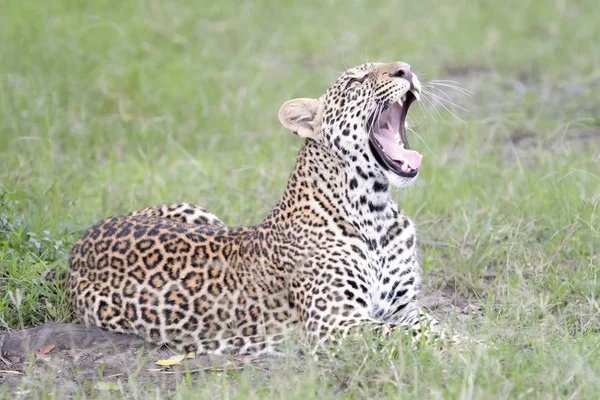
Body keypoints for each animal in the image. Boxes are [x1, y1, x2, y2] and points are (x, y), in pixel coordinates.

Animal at [65, 61, 450, 354]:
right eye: (356, 81)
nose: (405, 69)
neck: (375, 211)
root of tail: (80, 242)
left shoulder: (404, 306)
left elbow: (432, 328)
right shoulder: (334, 321)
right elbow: (409, 336)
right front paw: (463, 353)